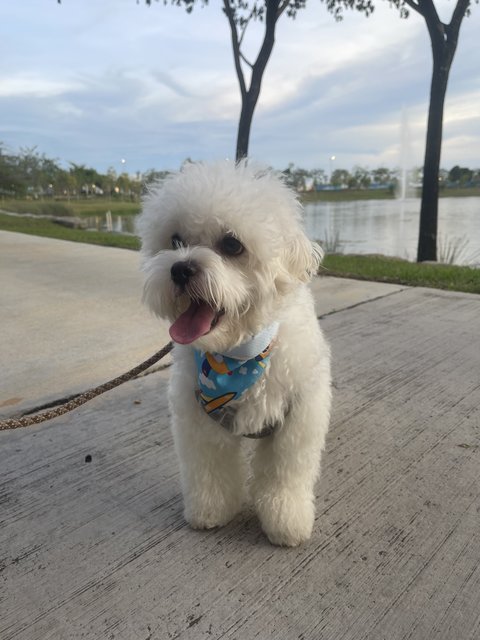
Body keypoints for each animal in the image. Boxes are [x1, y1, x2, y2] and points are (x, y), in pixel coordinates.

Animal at [137, 160, 332, 544]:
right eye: (176, 240)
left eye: (231, 244)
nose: (179, 268)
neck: (237, 354)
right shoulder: (198, 419)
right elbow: (209, 469)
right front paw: (210, 510)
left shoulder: (298, 416)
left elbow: (285, 474)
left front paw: (286, 519)